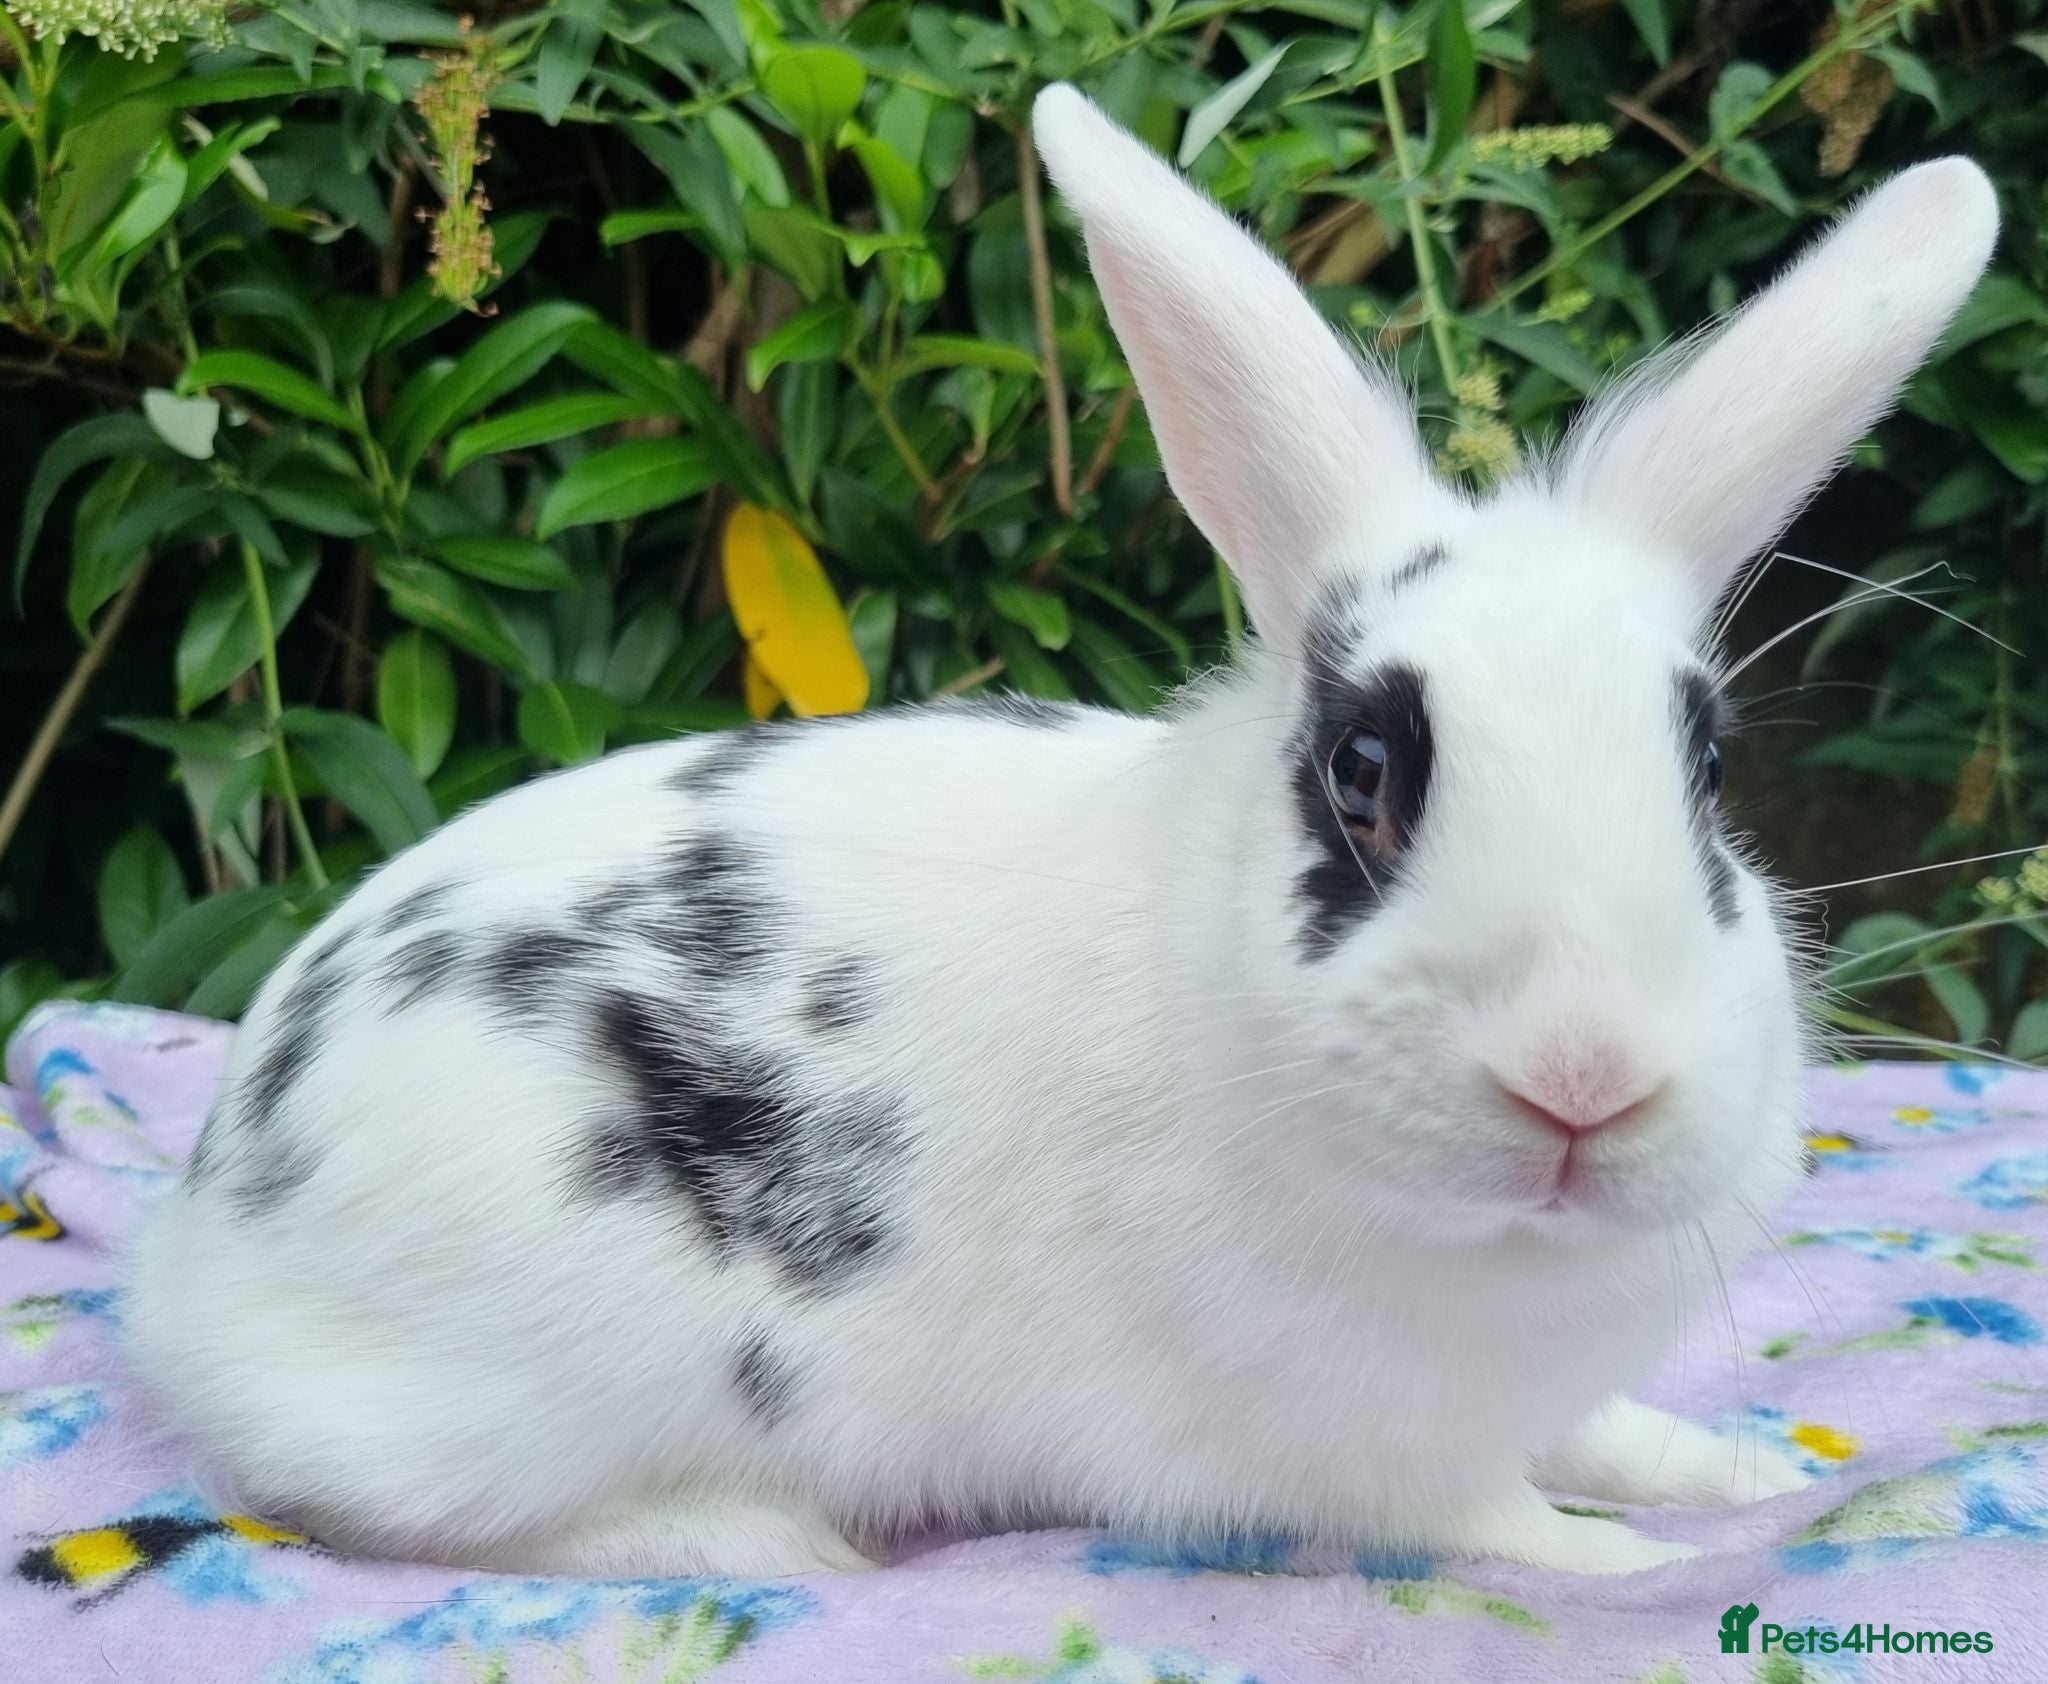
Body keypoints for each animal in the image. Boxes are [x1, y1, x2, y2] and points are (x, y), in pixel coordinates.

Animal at [123, 85, 1999, 1580]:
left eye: (1708, 773)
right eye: (1363, 773)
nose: (1583, 1080)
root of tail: (207, 1234)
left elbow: (1605, 1432)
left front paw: (1735, 1473)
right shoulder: (1368, 1461)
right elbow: (1506, 1531)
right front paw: (1642, 1564)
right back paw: (772, 1541)